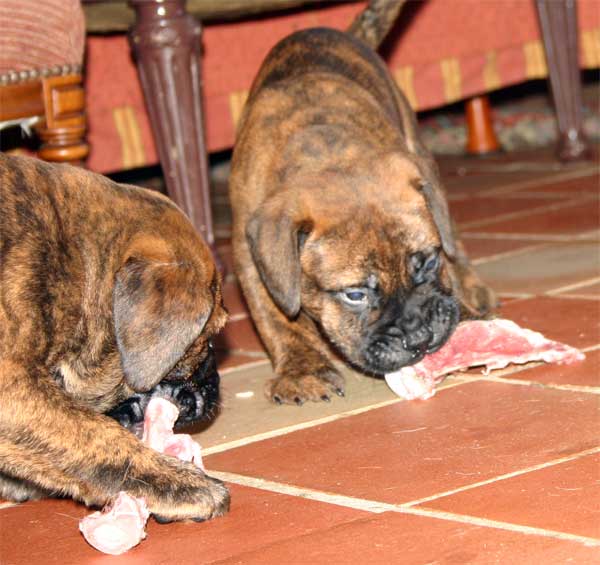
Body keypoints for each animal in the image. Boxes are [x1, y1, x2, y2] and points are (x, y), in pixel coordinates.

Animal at [0, 153, 230, 520]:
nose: (216, 388)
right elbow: (94, 436)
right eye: (207, 339)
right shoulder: (12, 386)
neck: (72, 262)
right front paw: (179, 484)